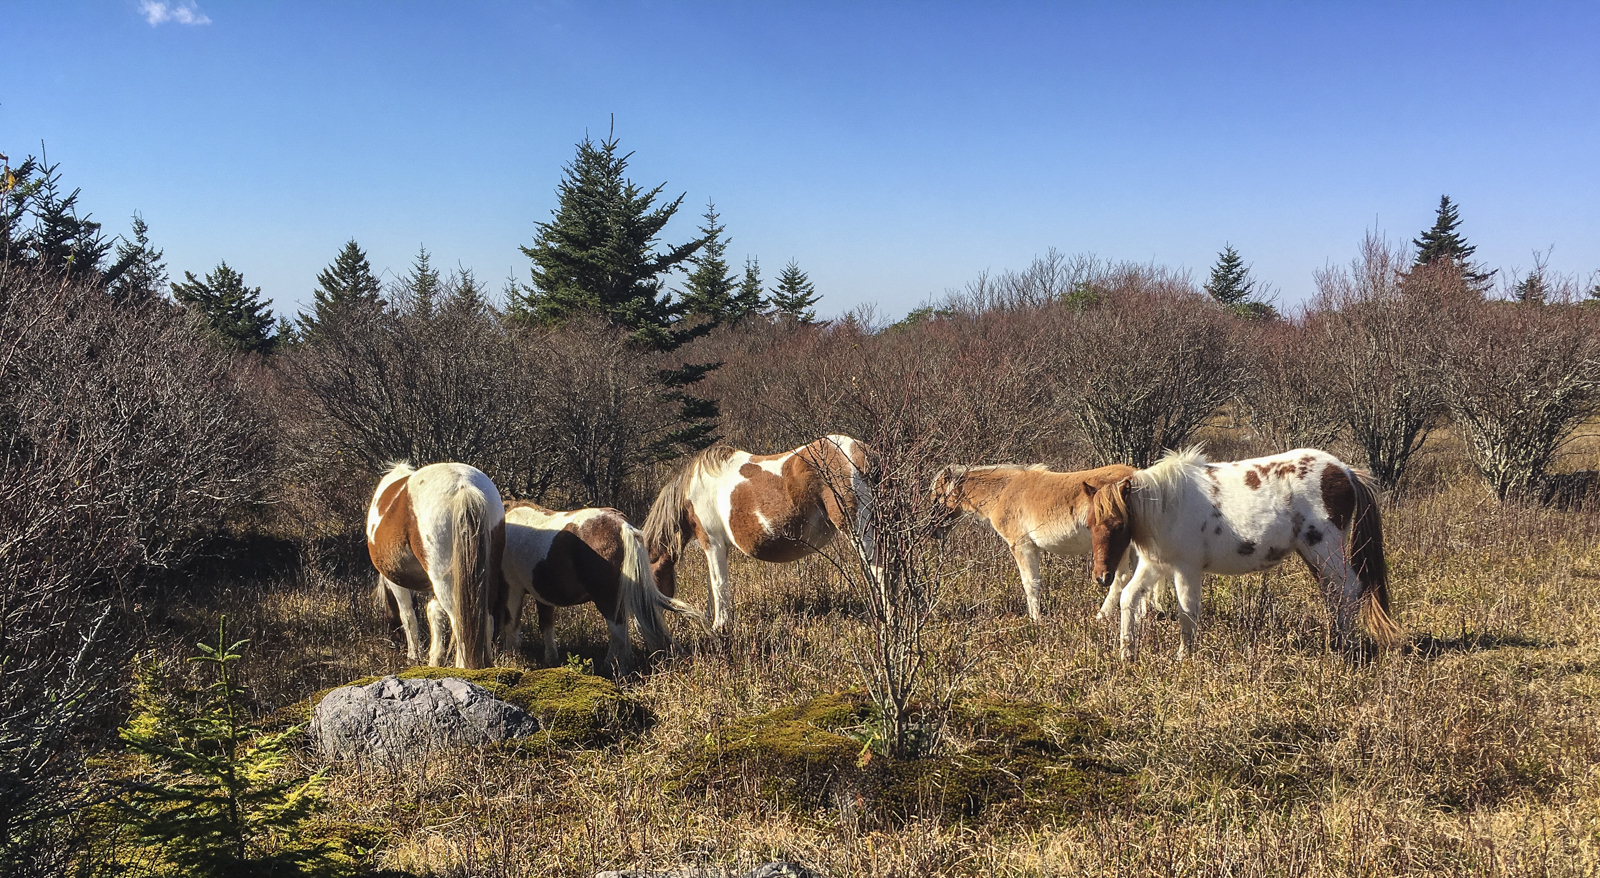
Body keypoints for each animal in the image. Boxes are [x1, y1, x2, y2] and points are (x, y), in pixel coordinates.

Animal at [367, 462, 504, 669]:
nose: (394, 642)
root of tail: (464, 486)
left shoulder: (395, 581)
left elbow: (407, 615)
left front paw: (414, 656)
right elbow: (434, 613)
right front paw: (435, 659)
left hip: (446, 580)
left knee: (459, 622)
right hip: (487, 574)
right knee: (485, 617)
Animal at [496, 500, 707, 676]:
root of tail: (623, 527)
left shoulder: (513, 589)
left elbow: (512, 624)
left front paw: (511, 659)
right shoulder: (542, 594)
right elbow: (546, 625)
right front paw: (551, 659)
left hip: (607, 599)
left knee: (618, 632)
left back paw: (611, 667)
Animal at [642, 434, 877, 632]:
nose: (650, 621)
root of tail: (862, 452)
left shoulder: (712, 542)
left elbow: (719, 583)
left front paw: (720, 626)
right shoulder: (718, 548)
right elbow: (713, 583)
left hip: (860, 530)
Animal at [928, 462, 1171, 622]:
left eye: (936, 498)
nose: (934, 532)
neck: (1004, 492)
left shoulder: (1022, 546)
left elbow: (1030, 583)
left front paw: (1035, 619)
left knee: (1120, 579)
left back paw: (1101, 616)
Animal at [1083, 446, 1403, 660]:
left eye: (1118, 525)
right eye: (1090, 524)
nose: (1101, 577)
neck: (1167, 504)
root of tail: (1345, 472)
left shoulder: (1186, 569)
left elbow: (1187, 612)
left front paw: (1184, 657)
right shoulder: (1155, 565)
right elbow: (1128, 598)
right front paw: (1127, 654)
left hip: (1325, 550)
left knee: (1349, 590)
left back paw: (1341, 648)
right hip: (1316, 556)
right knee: (1335, 593)